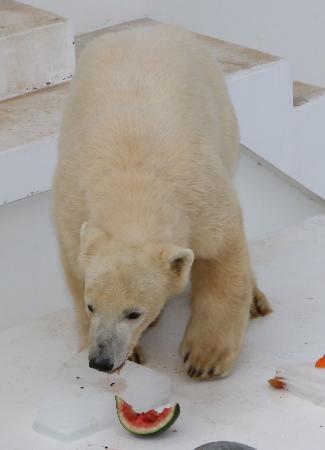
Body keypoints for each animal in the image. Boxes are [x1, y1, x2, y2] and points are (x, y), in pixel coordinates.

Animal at [53, 22, 270, 380]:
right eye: (91, 306)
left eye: (134, 313)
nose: (101, 361)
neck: (132, 186)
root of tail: (145, 28)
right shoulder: (73, 209)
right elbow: (74, 269)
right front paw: (125, 351)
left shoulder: (201, 198)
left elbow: (222, 255)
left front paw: (204, 359)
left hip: (222, 116)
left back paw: (256, 301)